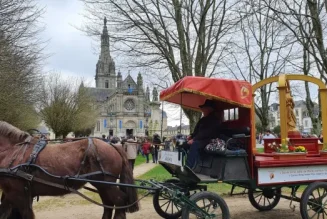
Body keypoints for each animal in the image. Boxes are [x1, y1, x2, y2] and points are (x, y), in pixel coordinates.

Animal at [0, 120, 140, 218]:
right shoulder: (11, 194)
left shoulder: (19, 195)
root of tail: (112, 145)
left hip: (107, 184)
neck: (14, 151)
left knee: (120, 201)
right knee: (108, 205)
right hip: (102, 186)